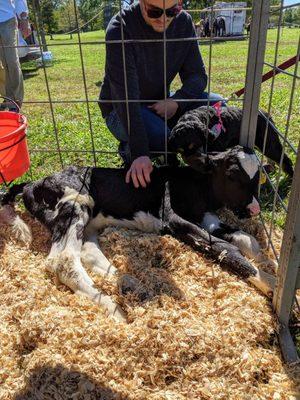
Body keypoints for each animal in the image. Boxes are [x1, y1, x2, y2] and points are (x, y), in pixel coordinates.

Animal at [0, 146, 276, 322]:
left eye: (258, 177)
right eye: (232, 174)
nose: (254, 209)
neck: (196, 185)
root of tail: (33, 183)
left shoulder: (207, 216)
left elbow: (246, 239)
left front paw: (270, 266)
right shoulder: (172, 218)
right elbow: (225, 248)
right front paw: (271, 285)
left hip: (89, 223)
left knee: (88, 252)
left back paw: (133, 286)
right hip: (75, 203)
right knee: (64, 259)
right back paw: (113, 308)